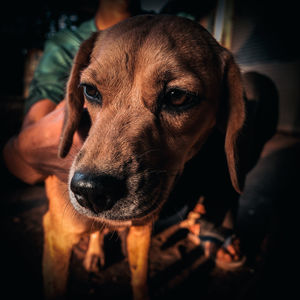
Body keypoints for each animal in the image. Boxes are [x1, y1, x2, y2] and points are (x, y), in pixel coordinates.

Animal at [42, 14, 274, 300]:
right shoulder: (57, 236)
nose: (90, 191)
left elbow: (140, 280)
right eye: (89, 90)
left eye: (178, 97)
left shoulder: (141, 231)